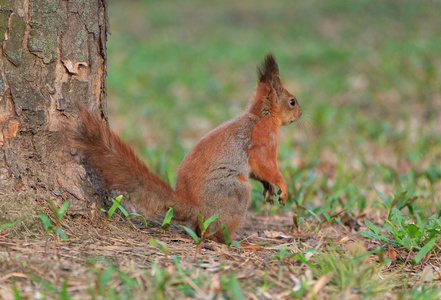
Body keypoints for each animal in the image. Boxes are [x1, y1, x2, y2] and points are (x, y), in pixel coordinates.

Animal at [69, 52, 302, 243]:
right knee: (212, 234)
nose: (301, 115)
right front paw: (282, 187)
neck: (262, 116)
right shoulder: (263, 140)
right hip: (236, 190)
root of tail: (194, 206)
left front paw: (269, 189)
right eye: (292, 101)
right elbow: (266, 166)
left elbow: (260, 172)